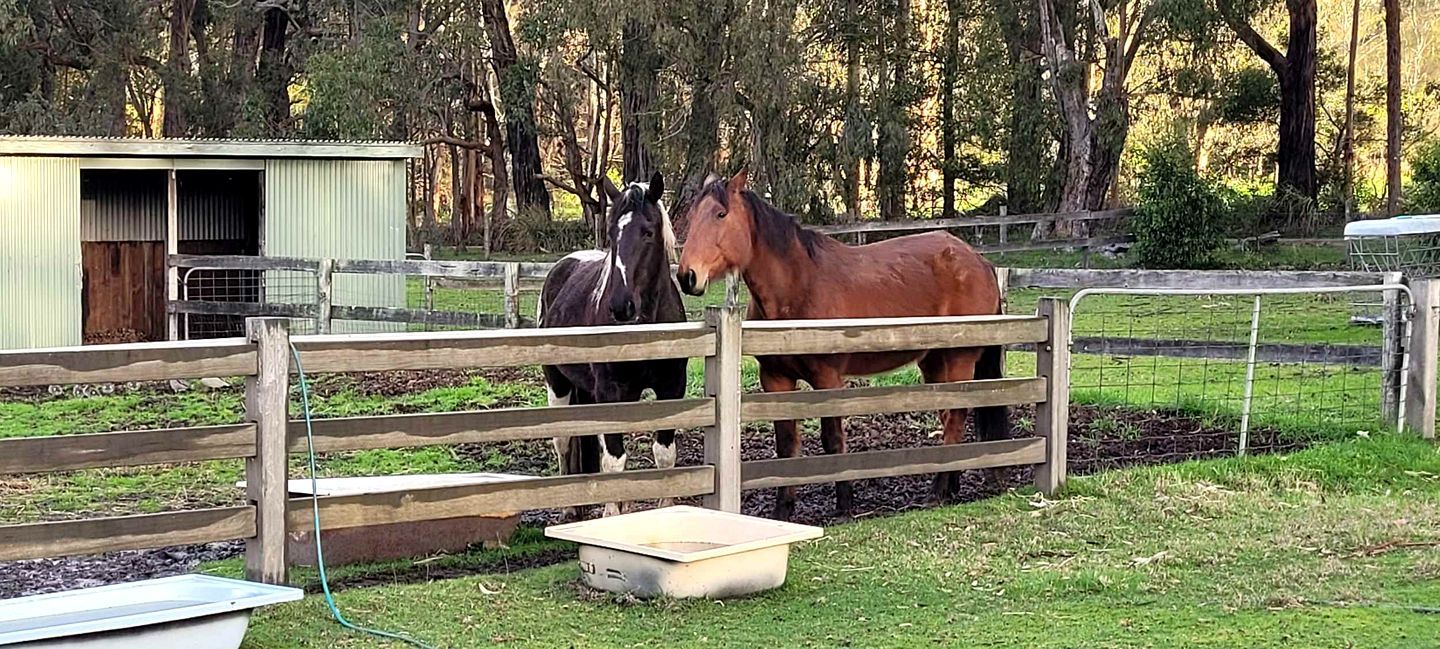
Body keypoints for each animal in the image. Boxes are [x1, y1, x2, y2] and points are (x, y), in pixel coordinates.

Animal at [538, 172, 688, 518]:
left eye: (648, 232)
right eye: (611, 234)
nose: (621, 306)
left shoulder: (672, 387)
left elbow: (664, 455)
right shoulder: (610, 390)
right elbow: (614, 460)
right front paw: (611, 516)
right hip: (558, 383)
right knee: (563, 442)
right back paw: (570, 509)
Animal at [675, 170, 1007, 521]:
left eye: (720, 214)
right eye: (692, 216)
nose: (687, 276)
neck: (800, 286)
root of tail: (980, 262)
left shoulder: (828, 380)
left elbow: (833, 440)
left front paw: (845, 505)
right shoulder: (776, 380)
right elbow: (787, 445)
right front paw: (783, 510)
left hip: (959, 359)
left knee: (955, 418)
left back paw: (938, 490)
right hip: (934, 362)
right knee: (948, 418)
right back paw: (951, 485)